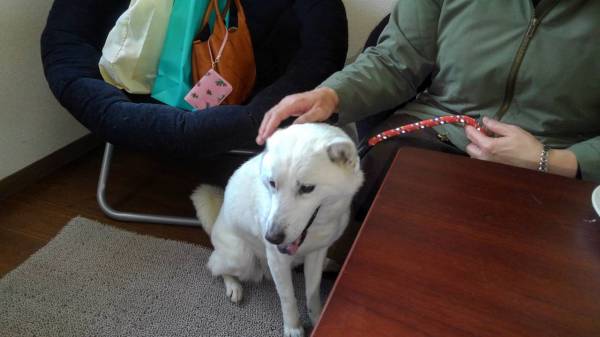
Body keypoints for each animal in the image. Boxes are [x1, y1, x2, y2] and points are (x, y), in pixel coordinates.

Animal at [191, 123, 360, 336]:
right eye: (272, 183)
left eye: (307, 188)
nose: (271, 237)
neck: (317, 228)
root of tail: (216, 220)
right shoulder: (278, 260)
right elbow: (288, 298)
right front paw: (293, 328)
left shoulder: (317, 252)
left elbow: (312, 293)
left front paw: (318, 318)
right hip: (241, 257)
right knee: (215, 265)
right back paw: (233, 286)